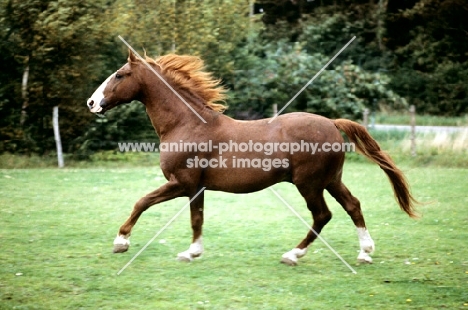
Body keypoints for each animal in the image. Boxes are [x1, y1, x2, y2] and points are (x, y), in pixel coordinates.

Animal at [87, 52, 416, 266]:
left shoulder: (182, 182)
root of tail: (333, 123)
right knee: (353, 206)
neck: (186, 124)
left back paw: (293, 255)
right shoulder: (196, 187)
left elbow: (143, 202)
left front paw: (121, 242)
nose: (92, 102)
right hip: (331, 180)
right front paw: (192, 252)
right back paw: (365, 252)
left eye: (120, 74)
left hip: (309, 184)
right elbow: (197, 219)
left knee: (323, 215)